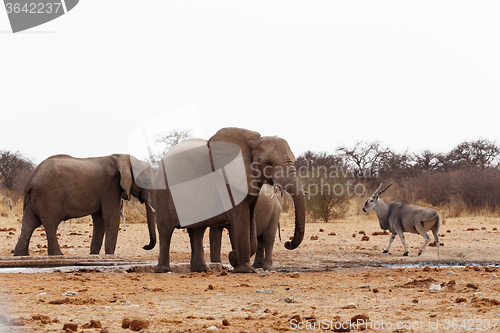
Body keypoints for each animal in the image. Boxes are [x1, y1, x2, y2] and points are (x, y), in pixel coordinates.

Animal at [14, 153, 155, 254]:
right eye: (146, 183)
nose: (145, 246)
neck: (124, 158)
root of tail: (31, 178)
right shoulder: (110, 187)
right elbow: (111, 217)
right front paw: (110, 255)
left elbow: (100, 219)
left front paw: (94, 255)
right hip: (47, 196)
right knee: (50, 224)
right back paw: (58, 255)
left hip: (35, 198)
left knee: (29, 223)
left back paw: (20, 255)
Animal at [153, 127, 304, 272]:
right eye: (268, 163)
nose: (288, 243)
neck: (253, 142)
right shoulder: (226, 183)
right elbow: (239, 220)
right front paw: (243, 269)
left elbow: (250, 219)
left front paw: (236, 260)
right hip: (163, 192)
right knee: (165, 229)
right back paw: (163, 270)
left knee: (197, 231)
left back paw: (202, 270)